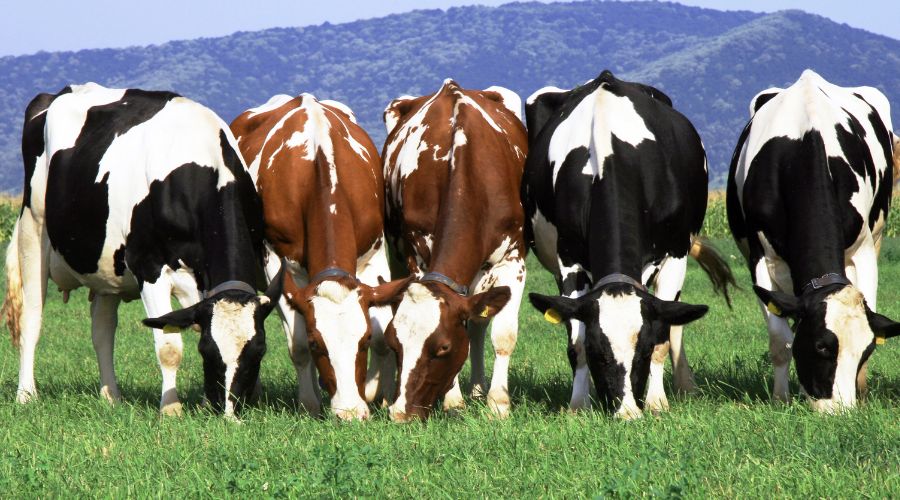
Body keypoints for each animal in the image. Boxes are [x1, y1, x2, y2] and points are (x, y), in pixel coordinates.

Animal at [1, 83, 284, 418]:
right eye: (206, 350)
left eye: (259, 351)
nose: (229, 414)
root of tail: (59, 92)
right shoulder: (150, 267)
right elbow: (169, 347)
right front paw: (171, 410)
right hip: (33, 228)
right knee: (32, 317)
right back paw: (26, 394)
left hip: (106, 266)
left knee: (102, 330)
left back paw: (111, 396)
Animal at [234, 94, 414, 422]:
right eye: (318, 344)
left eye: (363, 340)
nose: (350, 413)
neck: (318, 167)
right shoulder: (278, 263)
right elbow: (297, 345)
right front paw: (309, 403)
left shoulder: (372, 254)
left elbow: (383, 336)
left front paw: (376, 395)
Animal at [380, 79, 528, 422]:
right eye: (395, 345)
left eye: (443, 348)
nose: (401, 413)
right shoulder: (417, 258)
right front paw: (453, 400)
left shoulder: (513, 261)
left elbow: (503, 334)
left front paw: (498, 404)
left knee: (478, 325)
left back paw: (478, 390)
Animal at [524, 70, 736, 420]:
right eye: (598, 352)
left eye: (644, 350)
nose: (626, 412)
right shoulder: (568, 256)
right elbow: (575, 336)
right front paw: (578, 405)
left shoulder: (676, 252)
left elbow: (665, 332)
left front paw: (657, 402)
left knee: (676, 321)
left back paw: (685, 386)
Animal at [724, 71, 900, 414]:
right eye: (821, 346)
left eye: (867, 350)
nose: (840, 411)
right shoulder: (761, 257)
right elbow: (780, 340)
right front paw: (781, 398)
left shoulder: (863, 250)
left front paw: (861, 393)